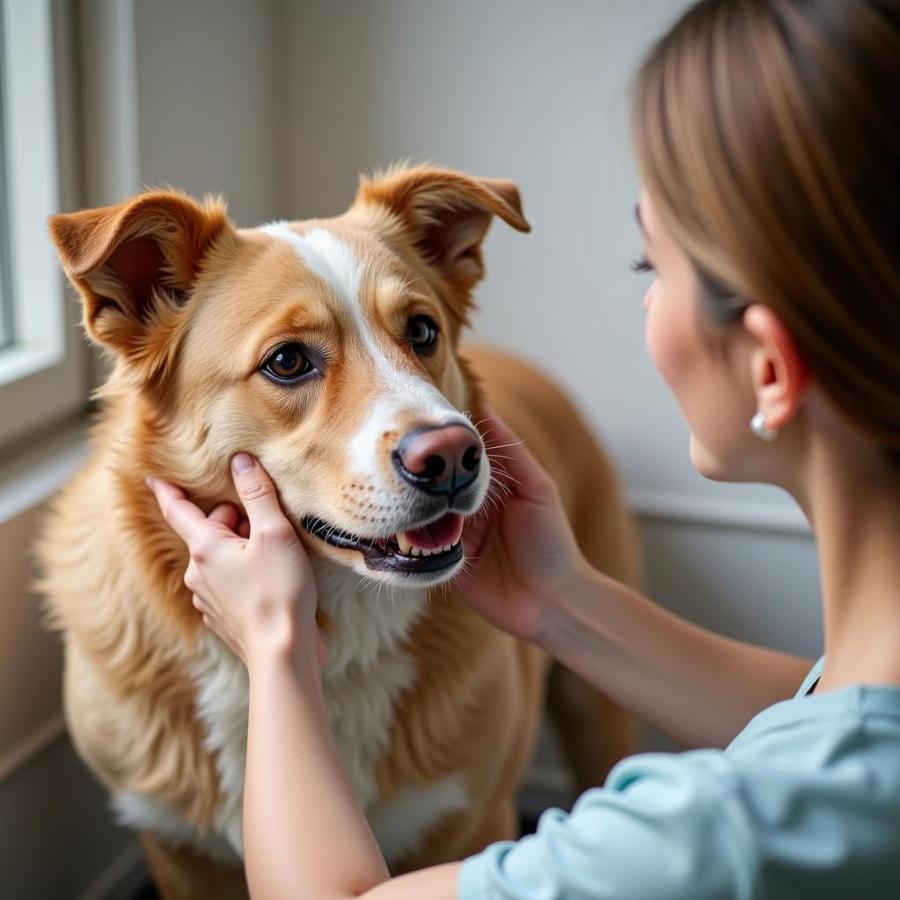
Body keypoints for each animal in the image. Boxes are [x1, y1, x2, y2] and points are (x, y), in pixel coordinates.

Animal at [38, 165, 636, 896]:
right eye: (288, 361)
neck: (331, 644)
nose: (453, 456)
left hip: (595, 705)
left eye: (423, 332)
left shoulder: (474, 821)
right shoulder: (180, 852)